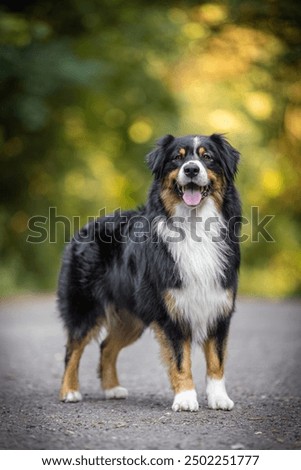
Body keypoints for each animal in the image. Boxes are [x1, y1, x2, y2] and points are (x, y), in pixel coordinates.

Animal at [58, 133, 241, 412]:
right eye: (177, 157)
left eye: (207, 157)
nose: (191, 169)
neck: (195, 225)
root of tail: (84, 227)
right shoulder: (172, 313)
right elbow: (180, 359)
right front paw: (185, 398)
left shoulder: (219, 307)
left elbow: (216, 359)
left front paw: (219, 398)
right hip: (85, 307)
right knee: (73, 349)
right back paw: (69, 391)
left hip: (132, 316)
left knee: (106, 346)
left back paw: (112, 389)